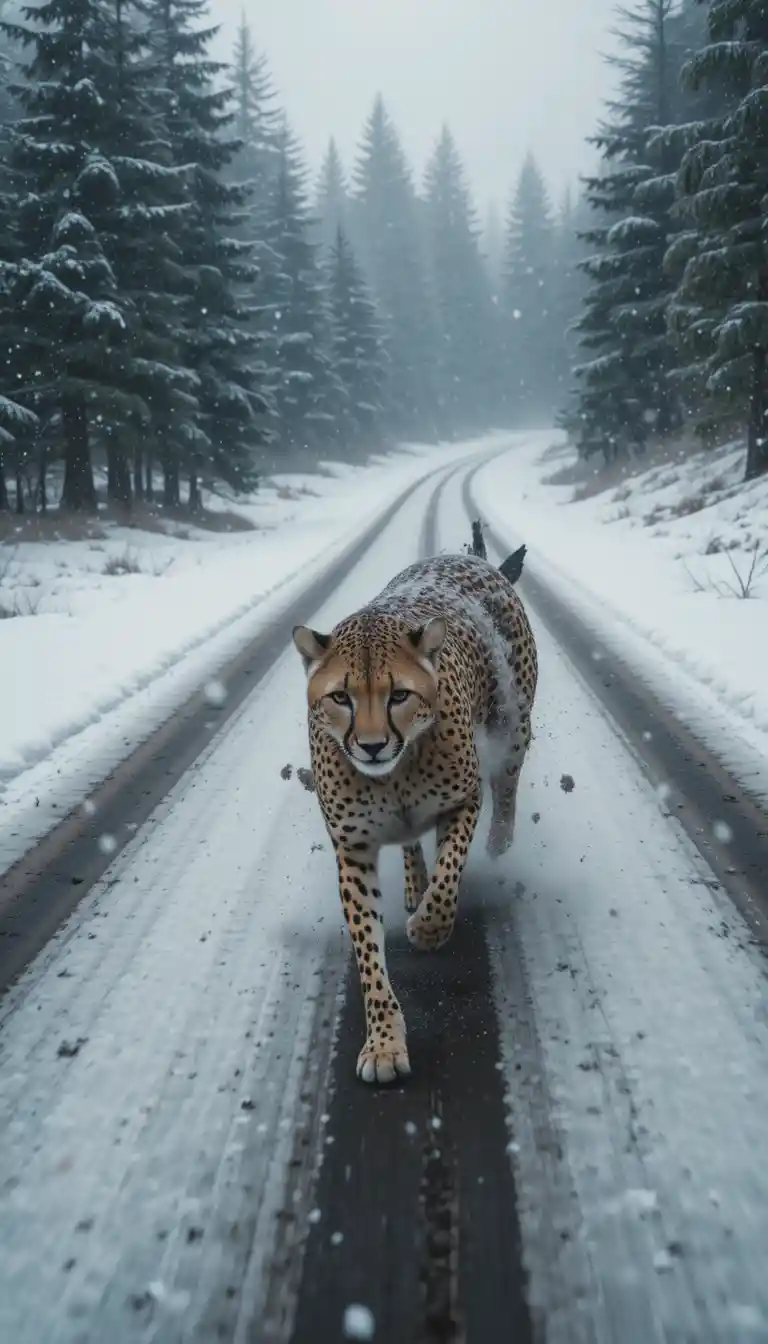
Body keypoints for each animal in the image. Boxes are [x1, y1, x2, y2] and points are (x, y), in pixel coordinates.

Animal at [292, 534, 538, 1086]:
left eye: (399, 695)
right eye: (341, 697)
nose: (371, 746)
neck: (395, 776)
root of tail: (467, 558)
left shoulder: (464, 799)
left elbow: (449, 879)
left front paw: (428, 929)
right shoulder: (353, 847)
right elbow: (367, 950)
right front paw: (383, 1042)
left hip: (514, 727)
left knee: (508, 787)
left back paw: (500, 841)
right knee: (410, 844)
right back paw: (412, 882)